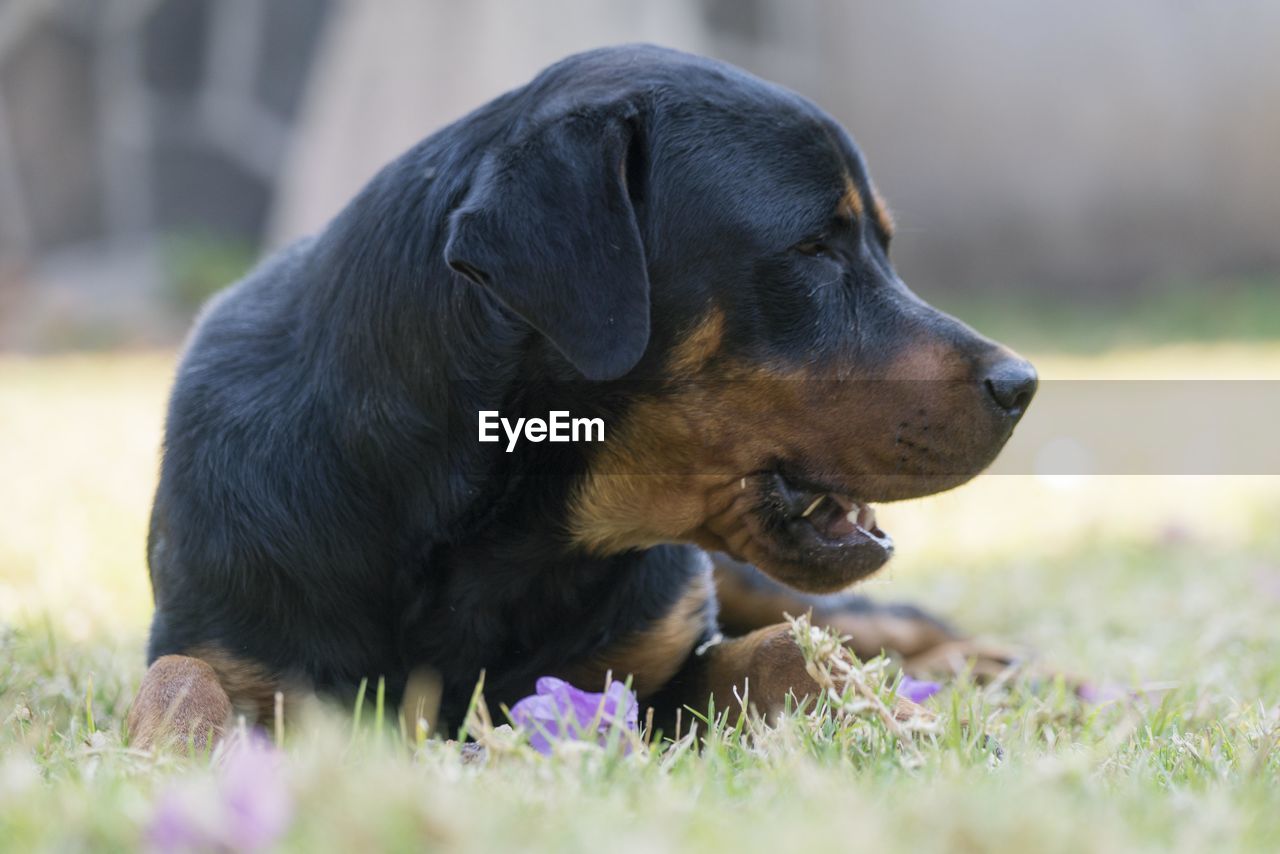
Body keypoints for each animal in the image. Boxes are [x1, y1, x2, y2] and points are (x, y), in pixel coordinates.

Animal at [124, 45, 1034, 747]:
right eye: (814, 247)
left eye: (880, 245)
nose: (1022, 383)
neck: (506, 534)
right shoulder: (243, 646)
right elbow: (180, 678)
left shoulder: (650, 669)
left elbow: (785, 650)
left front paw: (892, 712)